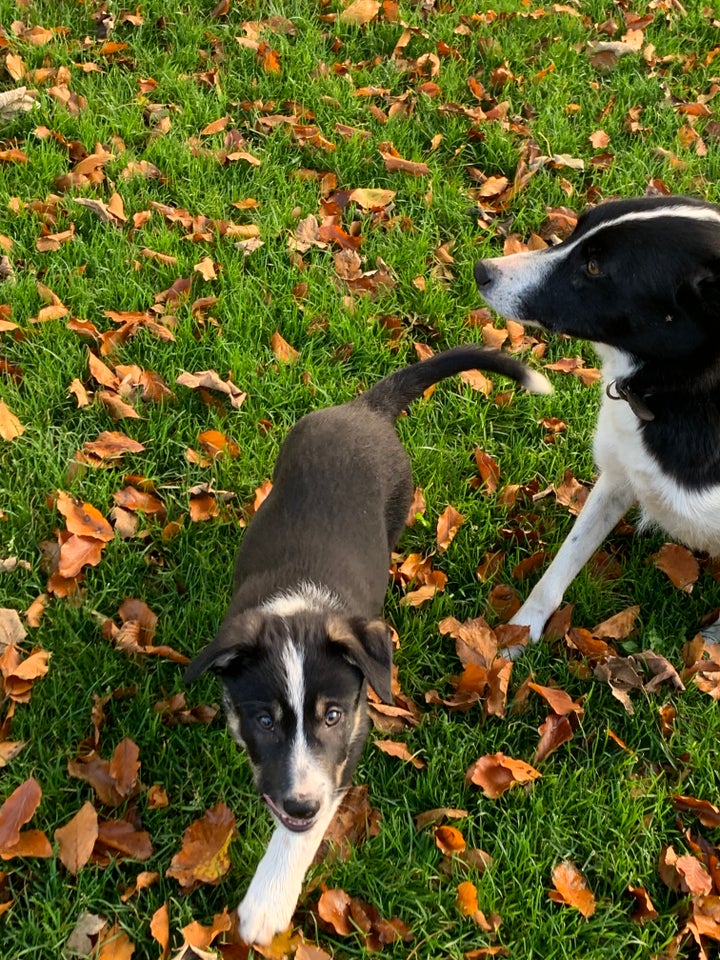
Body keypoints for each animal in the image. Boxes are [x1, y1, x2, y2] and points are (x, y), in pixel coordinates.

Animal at [183, 344, 548, 944]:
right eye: (264, 720)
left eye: (332, 716)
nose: (300, 803)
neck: (300, 607)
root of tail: (367, 408)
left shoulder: (347, 743)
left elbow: (301, 832)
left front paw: (267, 904)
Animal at [476, 197, 720, 660]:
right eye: (577, 227)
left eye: (593, 268)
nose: (483, 269)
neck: (671, 393)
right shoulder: (620, 476)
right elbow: (559, 568)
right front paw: (517, 635)